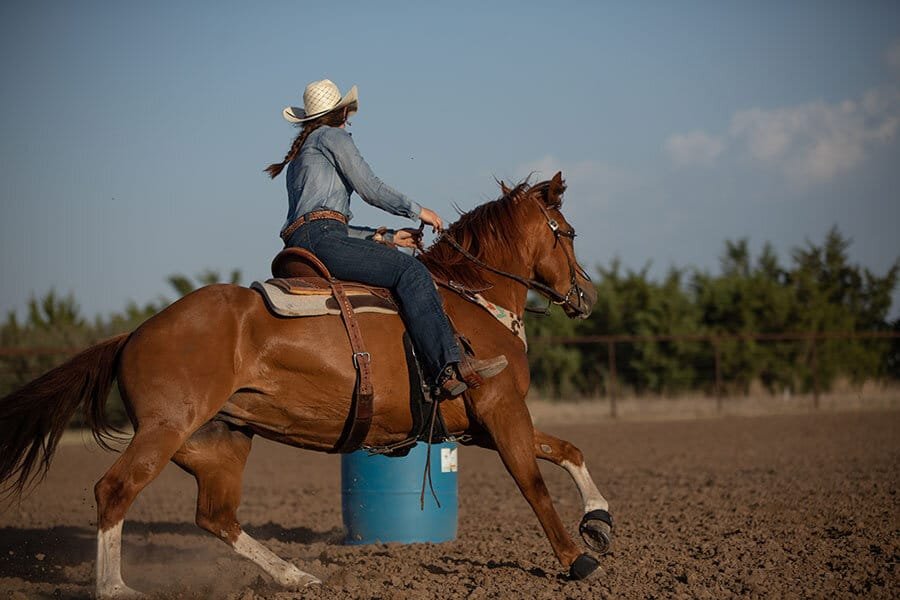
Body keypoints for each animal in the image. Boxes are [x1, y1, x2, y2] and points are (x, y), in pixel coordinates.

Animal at [0, 172, 613, 598]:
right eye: (569, 234)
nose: (587, 295)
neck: (469, 301)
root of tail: (134, 332)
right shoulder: (501, 407)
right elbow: (533, 483)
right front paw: (574, 557)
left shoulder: (481, 422)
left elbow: (567, 450)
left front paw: (600, 520)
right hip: (164, 430)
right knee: (115, 490)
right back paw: (116, 587)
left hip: (220, 442)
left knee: (215, 517)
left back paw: (295, 577)